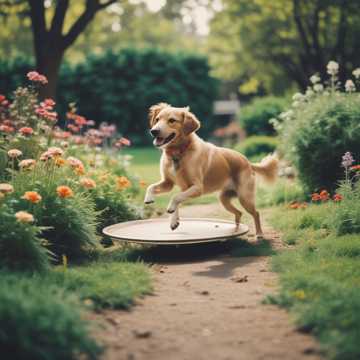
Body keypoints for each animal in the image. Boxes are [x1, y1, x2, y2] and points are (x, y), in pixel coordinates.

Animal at [143, 102, 278, 238]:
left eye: (172, 120)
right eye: (157, 119)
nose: (154, 131)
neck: (179, 152)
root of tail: (248, 162)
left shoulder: (197, 188)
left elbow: (175, 197)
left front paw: (171, 210)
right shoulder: (169, 183)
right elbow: (152, 187)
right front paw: (154, 203)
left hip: (245, 198)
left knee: (256, 213)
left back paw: (259, 234)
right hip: (224, 199)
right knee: (239, 213)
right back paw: (235, 229)